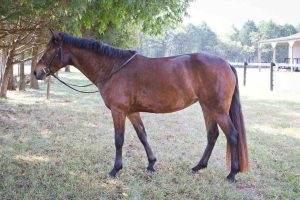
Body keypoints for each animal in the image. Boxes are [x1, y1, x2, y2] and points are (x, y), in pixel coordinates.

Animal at [34, 30, 248, 182]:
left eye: (49, 49)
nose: (37, 72)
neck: (113, 68)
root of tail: (227, 64)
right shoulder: (132, 112)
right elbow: (142, 135)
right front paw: (151, 165)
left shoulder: (118, 111)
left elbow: (119, 140)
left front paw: (115, 170)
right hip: (207, 107)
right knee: (212, 135)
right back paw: (198, 167)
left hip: (217, 110)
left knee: (232, 135)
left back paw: (232, 174)